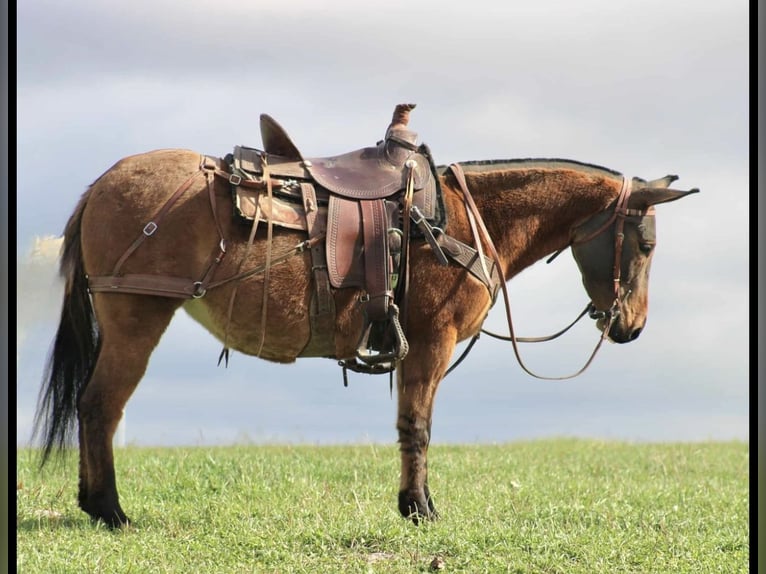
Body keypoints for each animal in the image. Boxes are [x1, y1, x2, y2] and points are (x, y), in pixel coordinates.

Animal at [32, 105, 698, 528]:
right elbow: (418, 426)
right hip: (136, 320)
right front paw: (421, 509)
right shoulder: (431, 340)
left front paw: (412, 504)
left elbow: (408, 422)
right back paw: (110, 511)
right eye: (646, 245)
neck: (463, 217)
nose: (630, 326)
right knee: (99, 406)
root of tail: (101, 184)